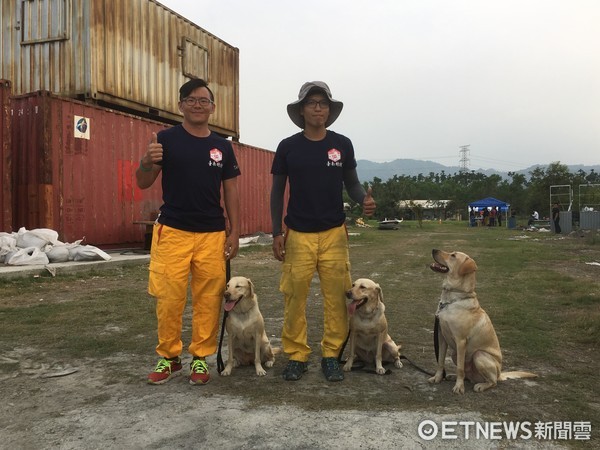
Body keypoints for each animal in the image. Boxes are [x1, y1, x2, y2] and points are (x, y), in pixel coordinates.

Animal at [428, 250, 536, 394]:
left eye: (453, 255)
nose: (434, 249)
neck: (452, 299)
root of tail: (500, 374)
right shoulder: (441, 336)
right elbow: (440, 361)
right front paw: (438, 378)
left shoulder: (461, 341)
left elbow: (460, 368)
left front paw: (459, 387)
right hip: (455, 353)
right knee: (468, 375)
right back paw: (453, 376)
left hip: (479, 355)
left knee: (492, 382)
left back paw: (481, 385)